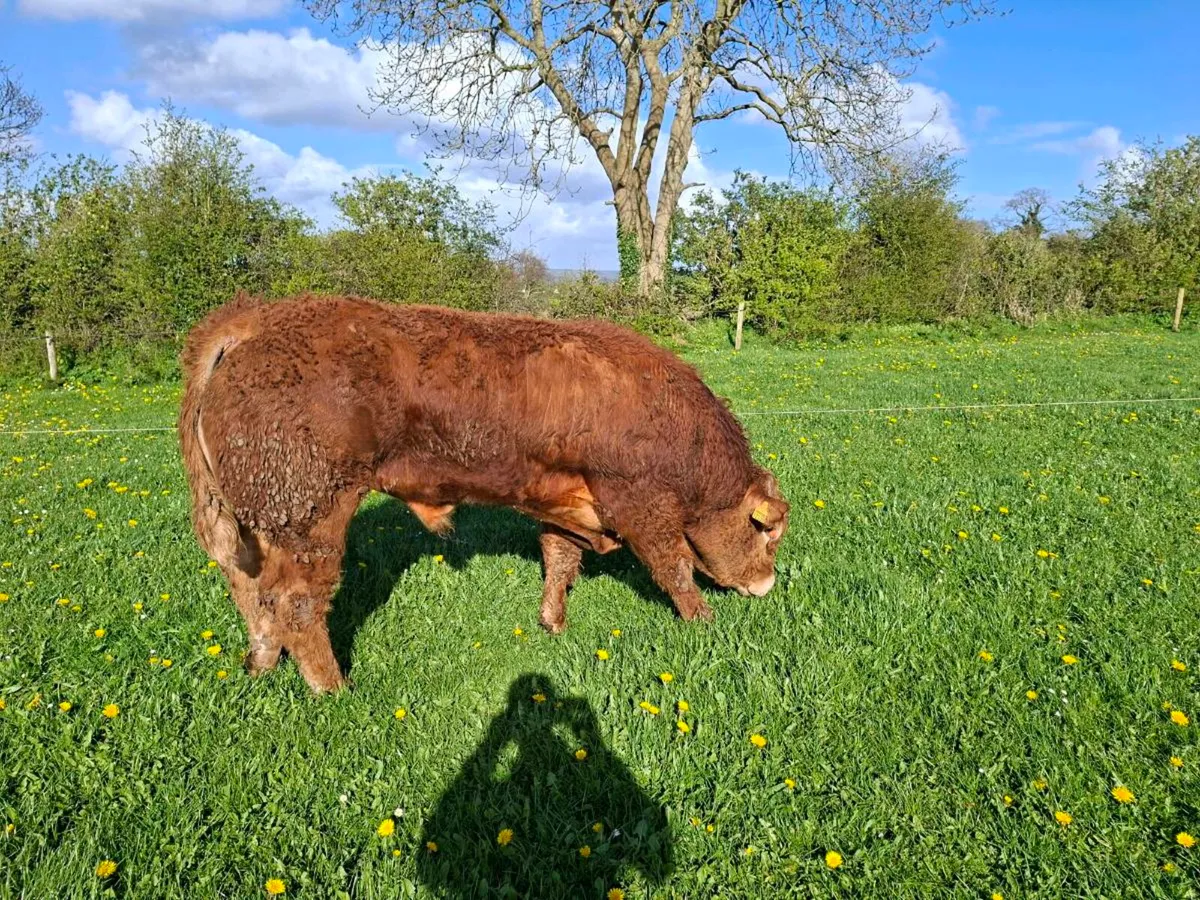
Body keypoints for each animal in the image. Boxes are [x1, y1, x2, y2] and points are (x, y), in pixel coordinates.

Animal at [179, 294, 789, 693]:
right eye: (767, 529)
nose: (767, 585)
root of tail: (252, 321)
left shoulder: (567, 505)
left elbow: (559, 559)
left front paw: (553, 622)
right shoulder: (637, 502)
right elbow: (673, 564)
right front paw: (705, 621)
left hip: (257, 522)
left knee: (251, 590)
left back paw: (260, 664)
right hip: (311, 513)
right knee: (297, 603)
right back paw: (336, 690)